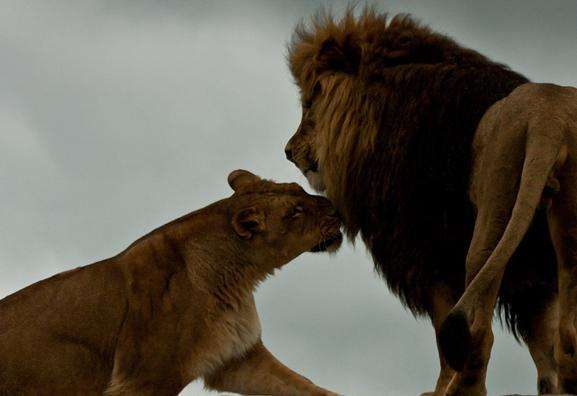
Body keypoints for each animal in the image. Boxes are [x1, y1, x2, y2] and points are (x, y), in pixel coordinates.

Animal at [0, 170, 342, 396]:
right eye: (295, 212)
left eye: (299, 188)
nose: (337, 209)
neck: (240, 276)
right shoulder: (144, 379)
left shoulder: (237, 358)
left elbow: (303, 385)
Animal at [286, 9, 564, 396]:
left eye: (309, 102)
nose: (288, 151)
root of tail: (544, 127)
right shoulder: (529, 280)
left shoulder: (428, 257)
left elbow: (446, 341)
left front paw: (440, 388)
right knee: (554, 358)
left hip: (487, 239)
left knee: (479, 335)